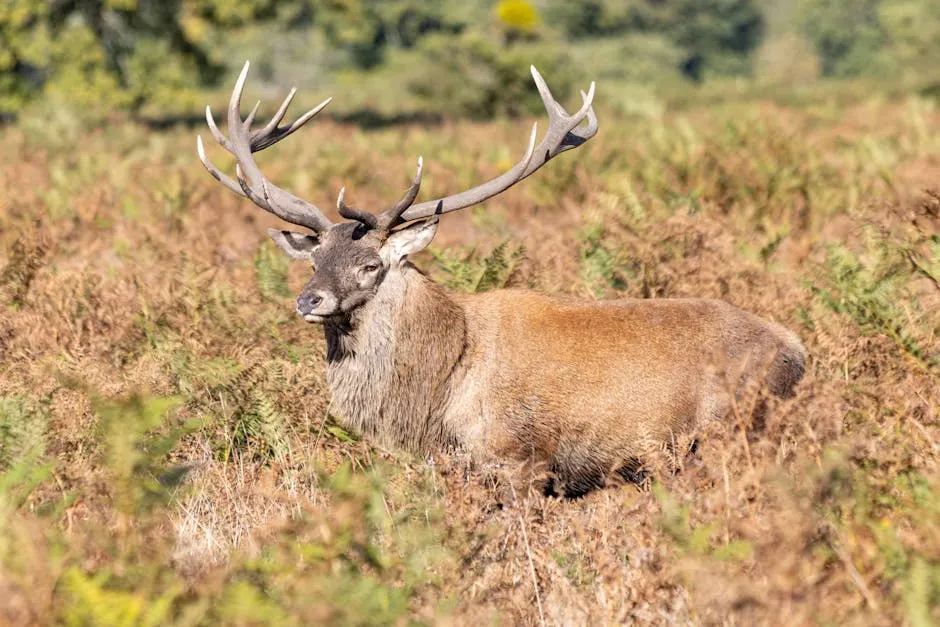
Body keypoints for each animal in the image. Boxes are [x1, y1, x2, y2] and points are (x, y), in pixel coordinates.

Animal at [197, 62, 806, 497]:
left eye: (371, 265)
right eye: (313, 258)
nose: (309, 298)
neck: (437, 396)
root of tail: (798, 351)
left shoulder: (521, 459)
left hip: (731, 432)